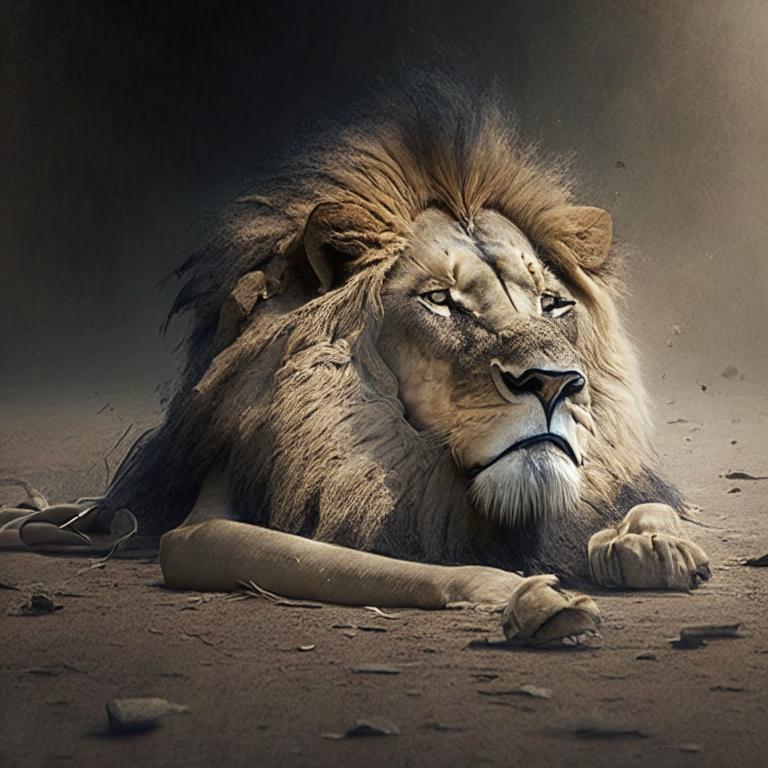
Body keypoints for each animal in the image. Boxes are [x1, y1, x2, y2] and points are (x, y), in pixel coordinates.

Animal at [0, 84, 710, 645]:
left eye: (554, 304)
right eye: (440, 301)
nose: (556, 383)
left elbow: (646, 506)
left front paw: (651, 542)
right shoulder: (199, 533)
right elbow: (413, 567)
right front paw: (521, 592)